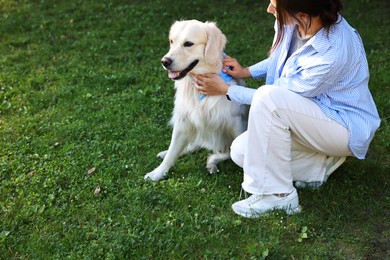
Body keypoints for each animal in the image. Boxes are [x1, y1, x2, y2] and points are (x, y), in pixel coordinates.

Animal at [145, 19, 248, 181]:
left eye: (188, 43)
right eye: (171, 41)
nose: (164, 61)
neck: (196, 87)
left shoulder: (235, 122)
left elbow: (234, 153)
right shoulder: (183, 120)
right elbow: (172, 151)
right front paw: (158, 173)